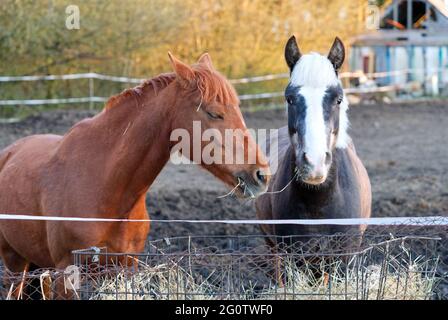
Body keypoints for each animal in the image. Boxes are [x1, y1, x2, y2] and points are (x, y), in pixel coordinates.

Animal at [0, 53, 270, 298]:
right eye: (214, 113)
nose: (261, 175)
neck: (104, 184)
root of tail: (10, 152)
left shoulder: (126, 269)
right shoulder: (68, 274)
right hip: (15, 265)